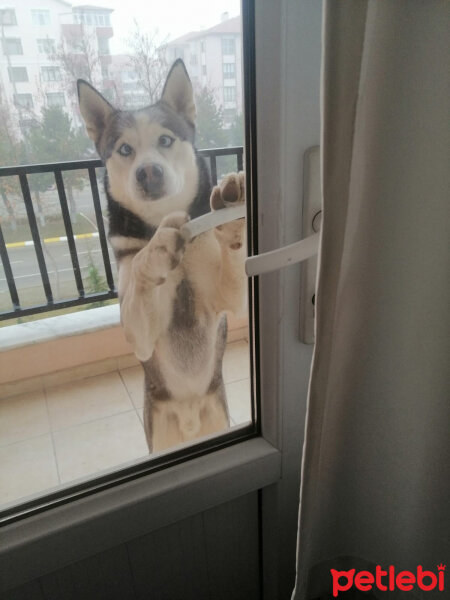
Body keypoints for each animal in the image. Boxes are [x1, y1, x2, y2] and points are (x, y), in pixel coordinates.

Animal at [77, 61, 246, 452]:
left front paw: (231, 216)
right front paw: (154, 252)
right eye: (125, 149)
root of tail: (190, 419)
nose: (148, 171)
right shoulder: (138, 334)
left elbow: (232, 269)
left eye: (165, 140)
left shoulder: (226, 298)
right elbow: (141, 272)